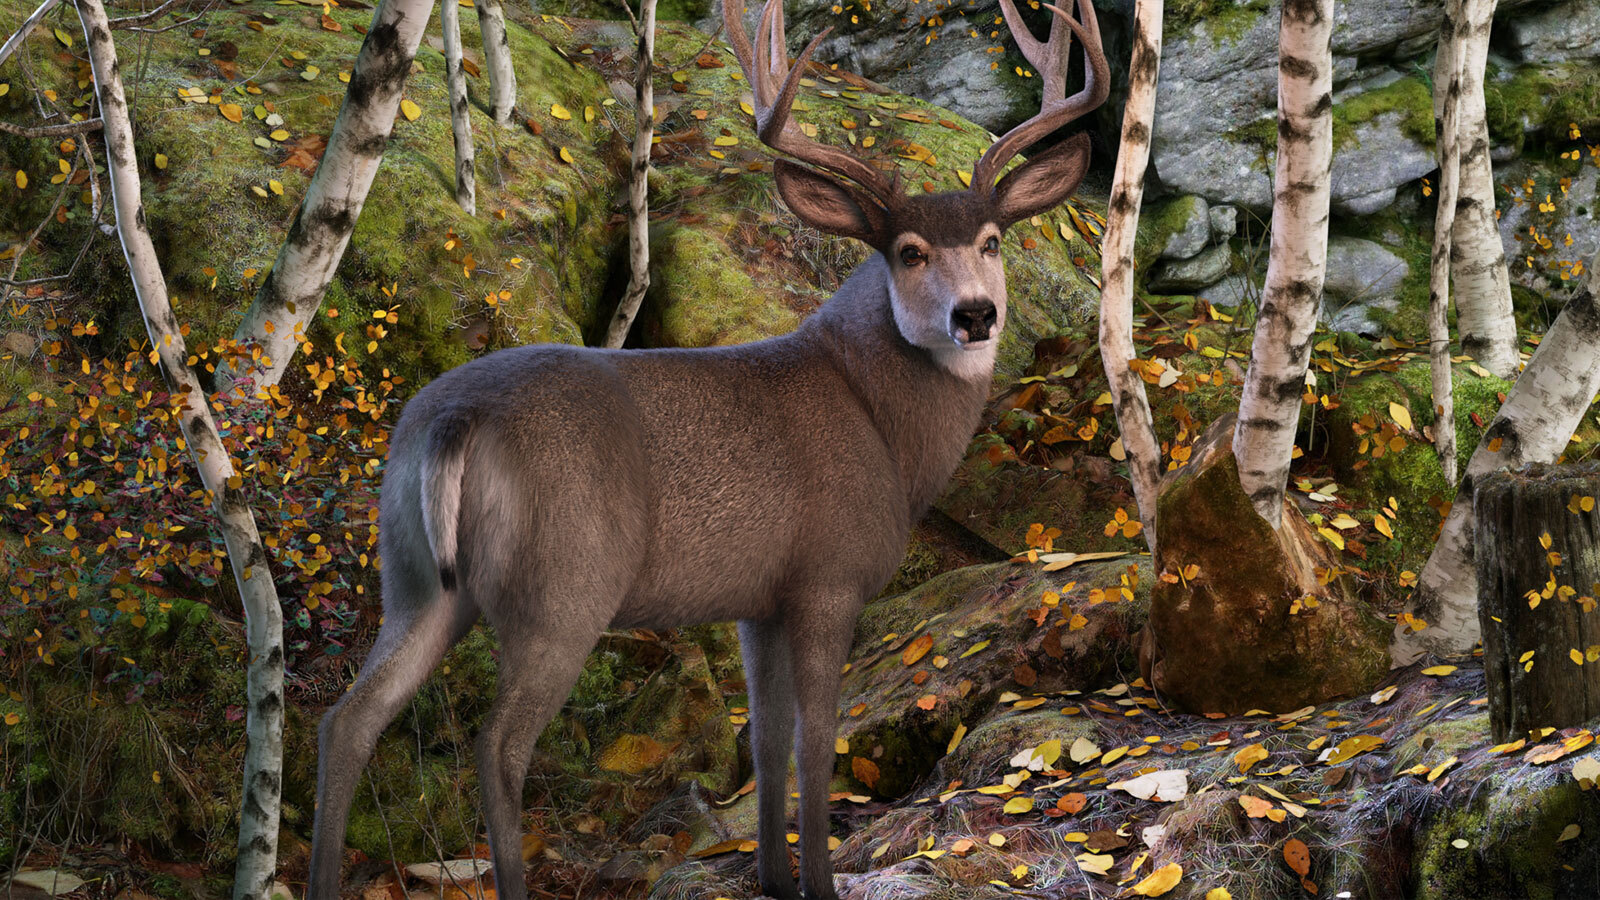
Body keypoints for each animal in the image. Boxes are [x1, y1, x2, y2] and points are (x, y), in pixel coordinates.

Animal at [305, 0, 1105, 897]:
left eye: (995, 239)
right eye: (909, 250)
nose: (975, 315)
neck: (883, 428)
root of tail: (456, 423)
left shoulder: (760, 598)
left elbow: (764, 738)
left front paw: (773, 879)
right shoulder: (828, 578)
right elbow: (815, 743)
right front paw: (818, 883)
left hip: (415, 578)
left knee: (347, 720)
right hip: (564, 584)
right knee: (498, 745)